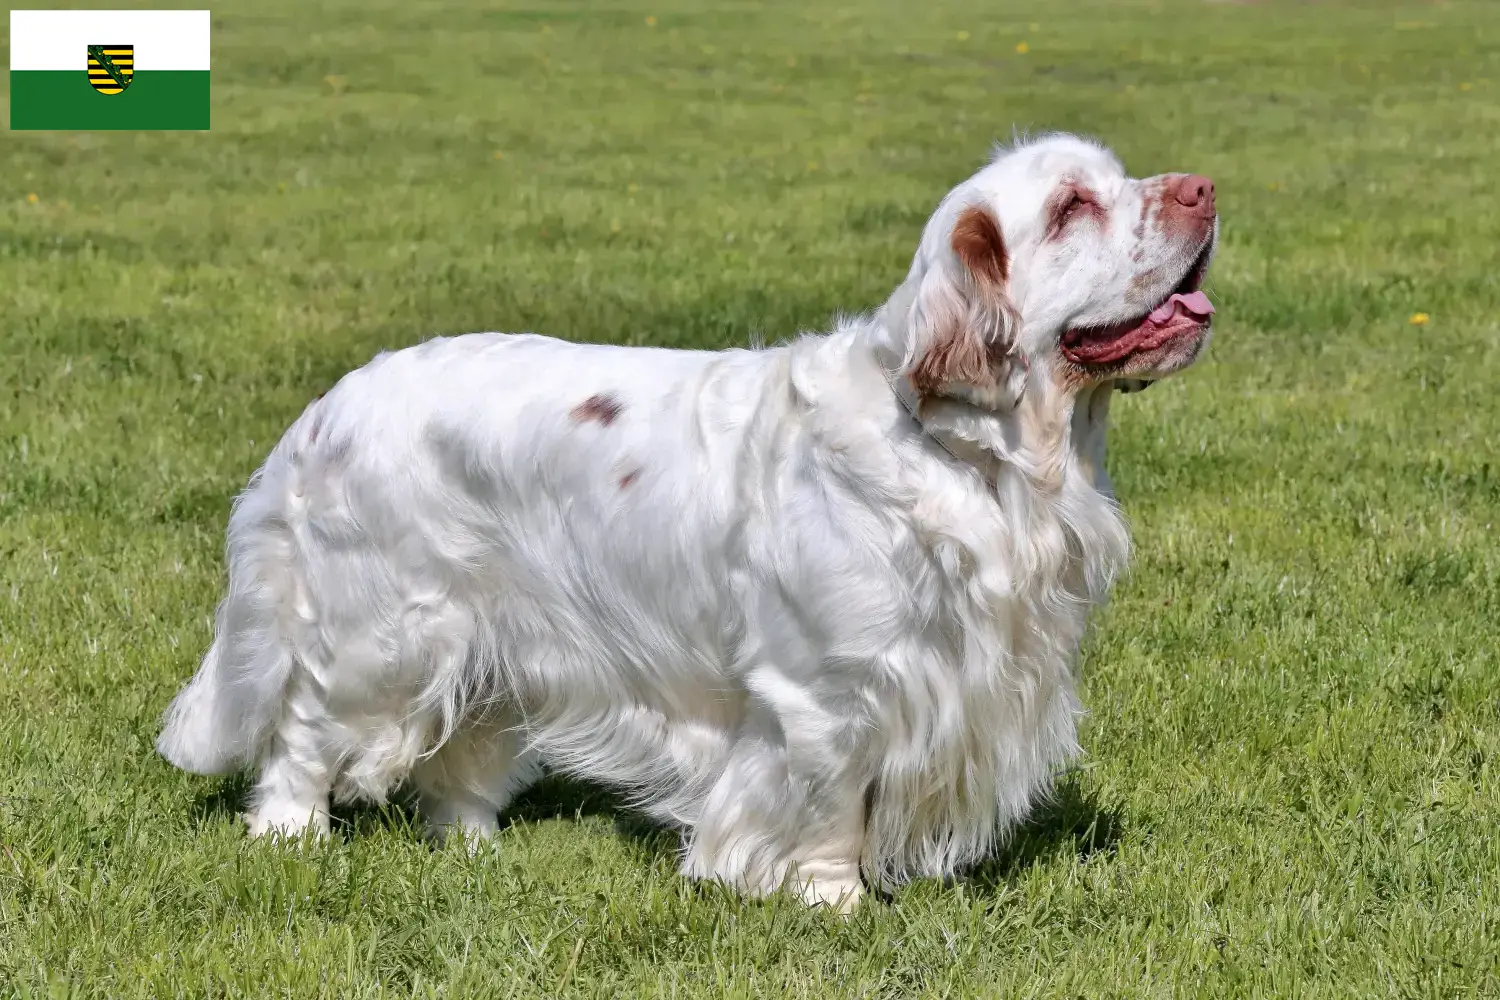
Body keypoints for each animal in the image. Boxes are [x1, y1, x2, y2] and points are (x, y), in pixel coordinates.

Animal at [161, 134, 1218, 917]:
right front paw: (833, 903)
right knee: (304, 725)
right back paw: (289, 831)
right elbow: (832, 804)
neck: (971, 455)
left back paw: (472, 845)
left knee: (462, 745)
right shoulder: (825, 692)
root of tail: (328, 406)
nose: (1205, 188)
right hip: (381, 631)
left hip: (499, 635)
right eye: (1073, 207)